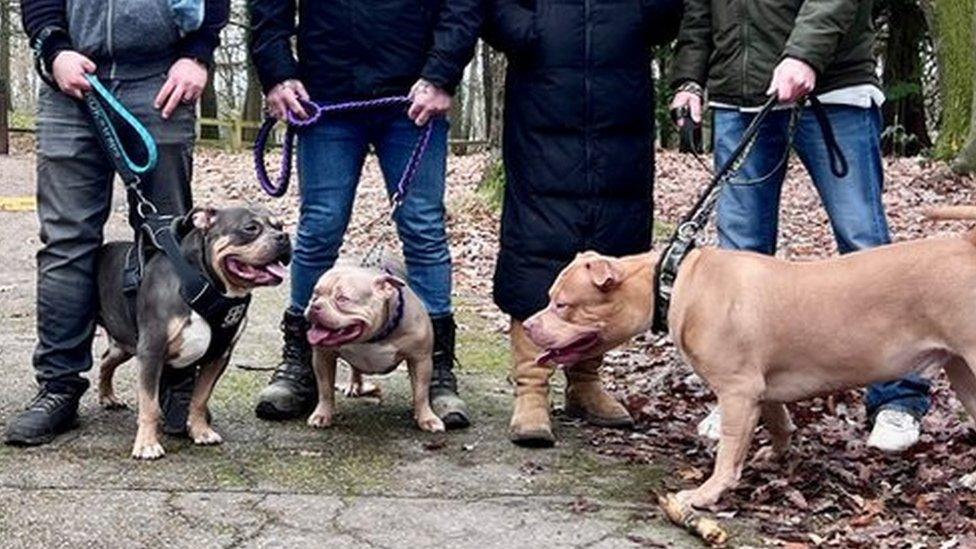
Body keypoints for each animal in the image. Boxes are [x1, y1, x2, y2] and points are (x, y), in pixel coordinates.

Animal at [304, 262, 446, 432]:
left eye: (342, 299)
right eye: (315, 294)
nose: (314, 305)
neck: (372, 337)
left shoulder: (420, 359)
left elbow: (421, 392)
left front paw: (426, 418)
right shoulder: (323, 356)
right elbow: (325, 389)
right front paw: (322, 415)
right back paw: (353, 385)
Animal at [528, 207, 976, 510]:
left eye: (563, 305)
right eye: (550, 298)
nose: (530, 325)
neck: (671, 281)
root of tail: (966, 244)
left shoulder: (738, 391)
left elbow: (728, 450)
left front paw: (707, 493)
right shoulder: (762, 387)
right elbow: (778, 421)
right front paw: (778, 454)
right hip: (963, 373)